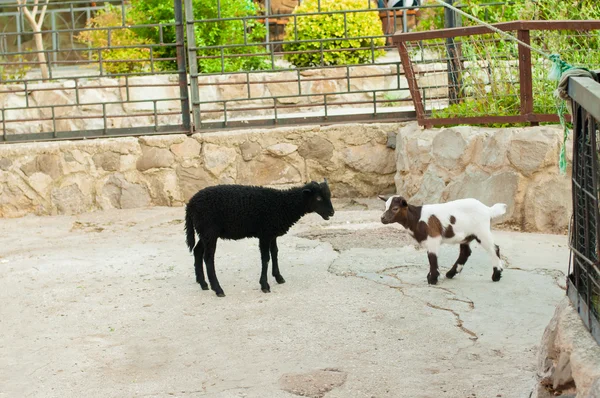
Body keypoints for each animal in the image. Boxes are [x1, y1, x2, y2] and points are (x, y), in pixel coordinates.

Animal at [184, 180, 332, 296]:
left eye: (329, 195)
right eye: (318, 198)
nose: (332, 212)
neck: (283, 205)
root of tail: (190, 204)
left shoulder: (272, 233)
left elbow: (275, 253)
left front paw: (278, 277)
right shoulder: (265, 234)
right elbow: (266, 258)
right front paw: (264, 285)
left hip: (205, 232)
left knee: (197, 251)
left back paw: (203, 283)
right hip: (209, 230)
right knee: (208, 258)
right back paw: (218, 289)